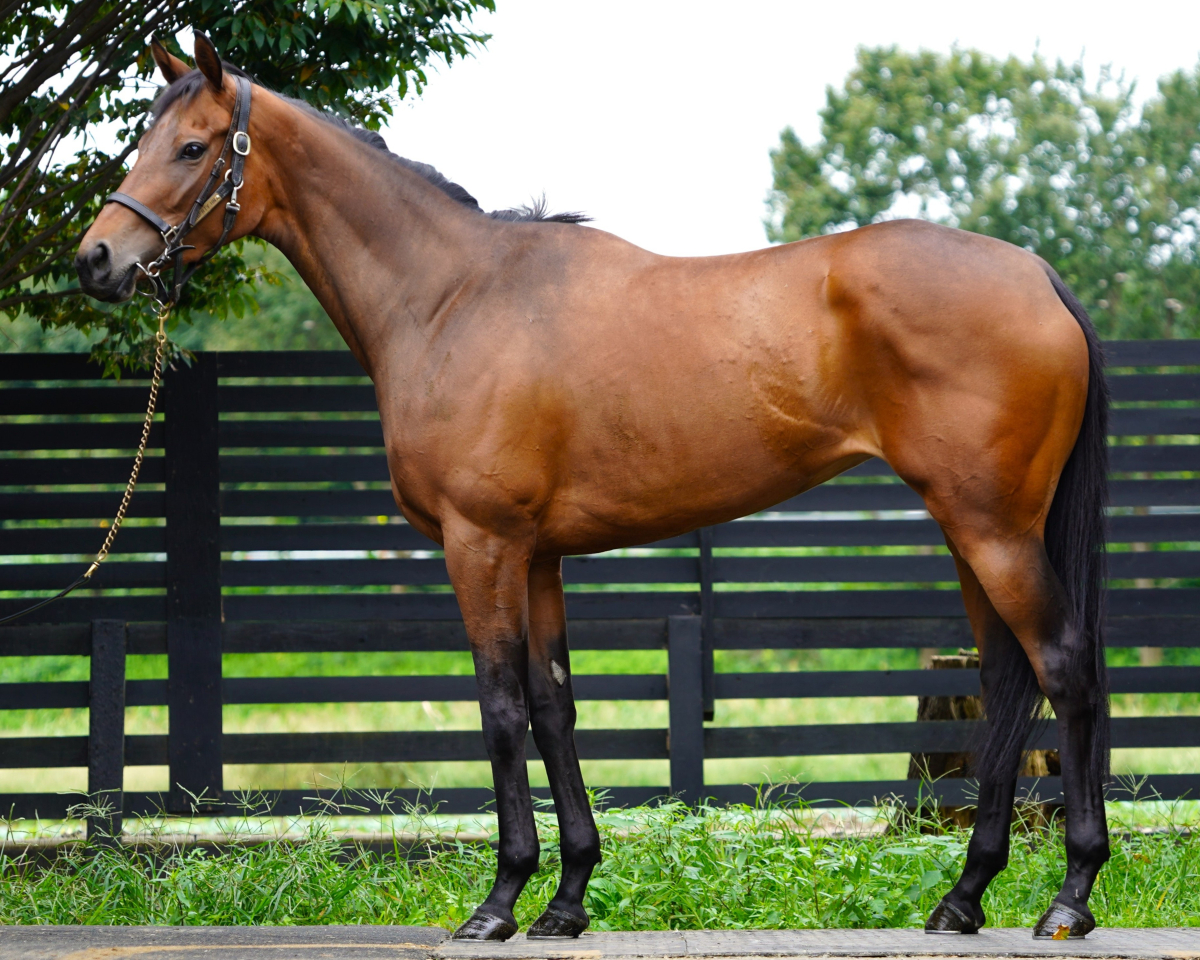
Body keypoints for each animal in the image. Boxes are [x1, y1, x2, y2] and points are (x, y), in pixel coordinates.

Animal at [75, 34, 1112, 941]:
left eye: (194, 146)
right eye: (142, 142)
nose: (97, 260)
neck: (454, 298)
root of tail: (1037, 274)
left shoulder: (481, 544)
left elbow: (498, 709)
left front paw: (499, 903)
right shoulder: (536, 558)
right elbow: (553, 707)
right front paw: (566, 900)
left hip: (993, 530)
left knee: (1064, 668)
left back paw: (1068, 900)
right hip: (971, 529)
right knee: (1008, 682)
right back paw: (964, 898)